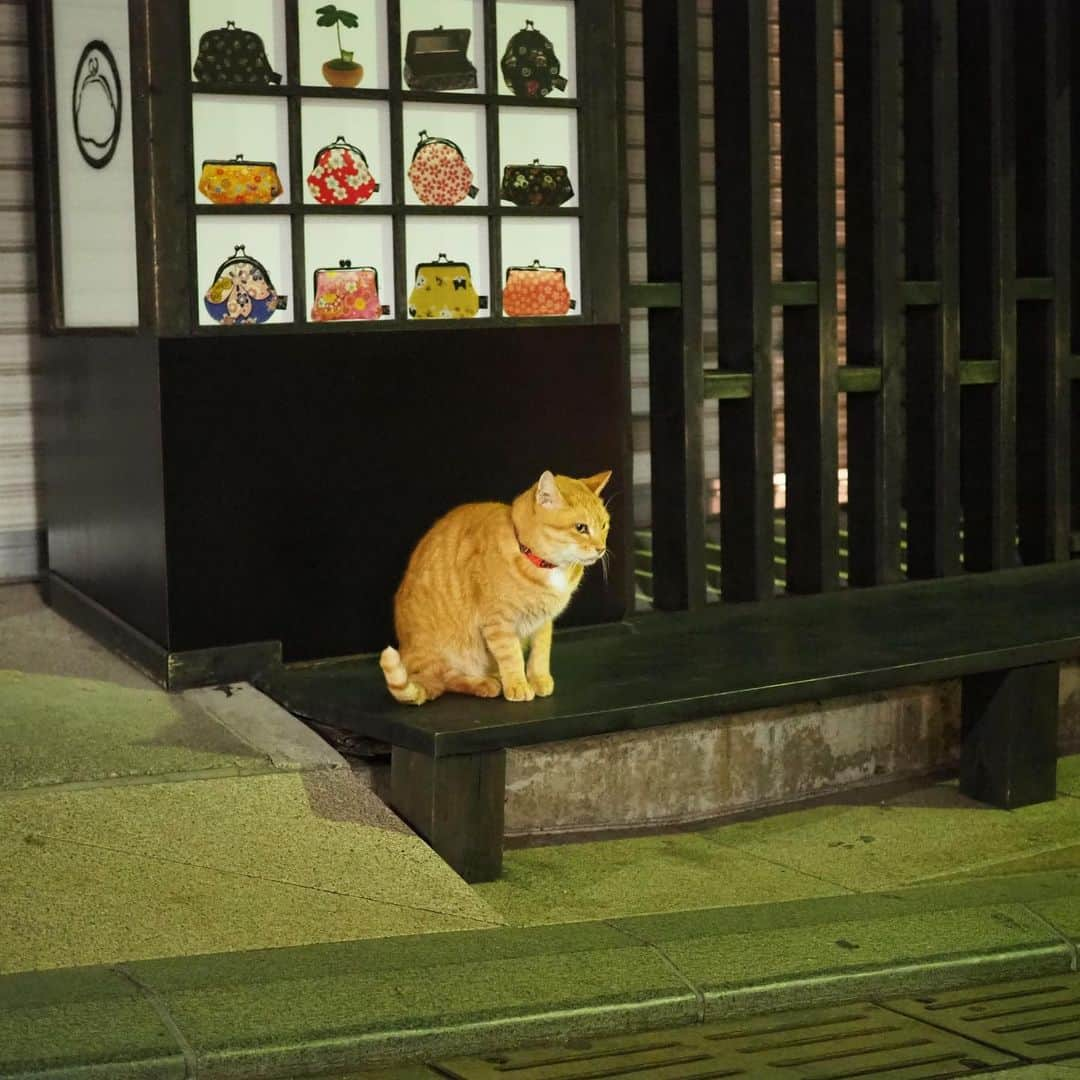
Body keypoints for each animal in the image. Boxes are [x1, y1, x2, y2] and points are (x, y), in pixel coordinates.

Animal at [384, 468, 613, 704]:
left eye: (604, 525)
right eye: (580, 528)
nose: (601, 549)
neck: (537, 560)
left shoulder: (543, 621)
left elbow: (541, 653)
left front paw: (539, 679)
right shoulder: (499, 622)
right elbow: (512, 656)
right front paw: (518, 685)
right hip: (448, 653)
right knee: (448, 680)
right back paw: (485, 683)